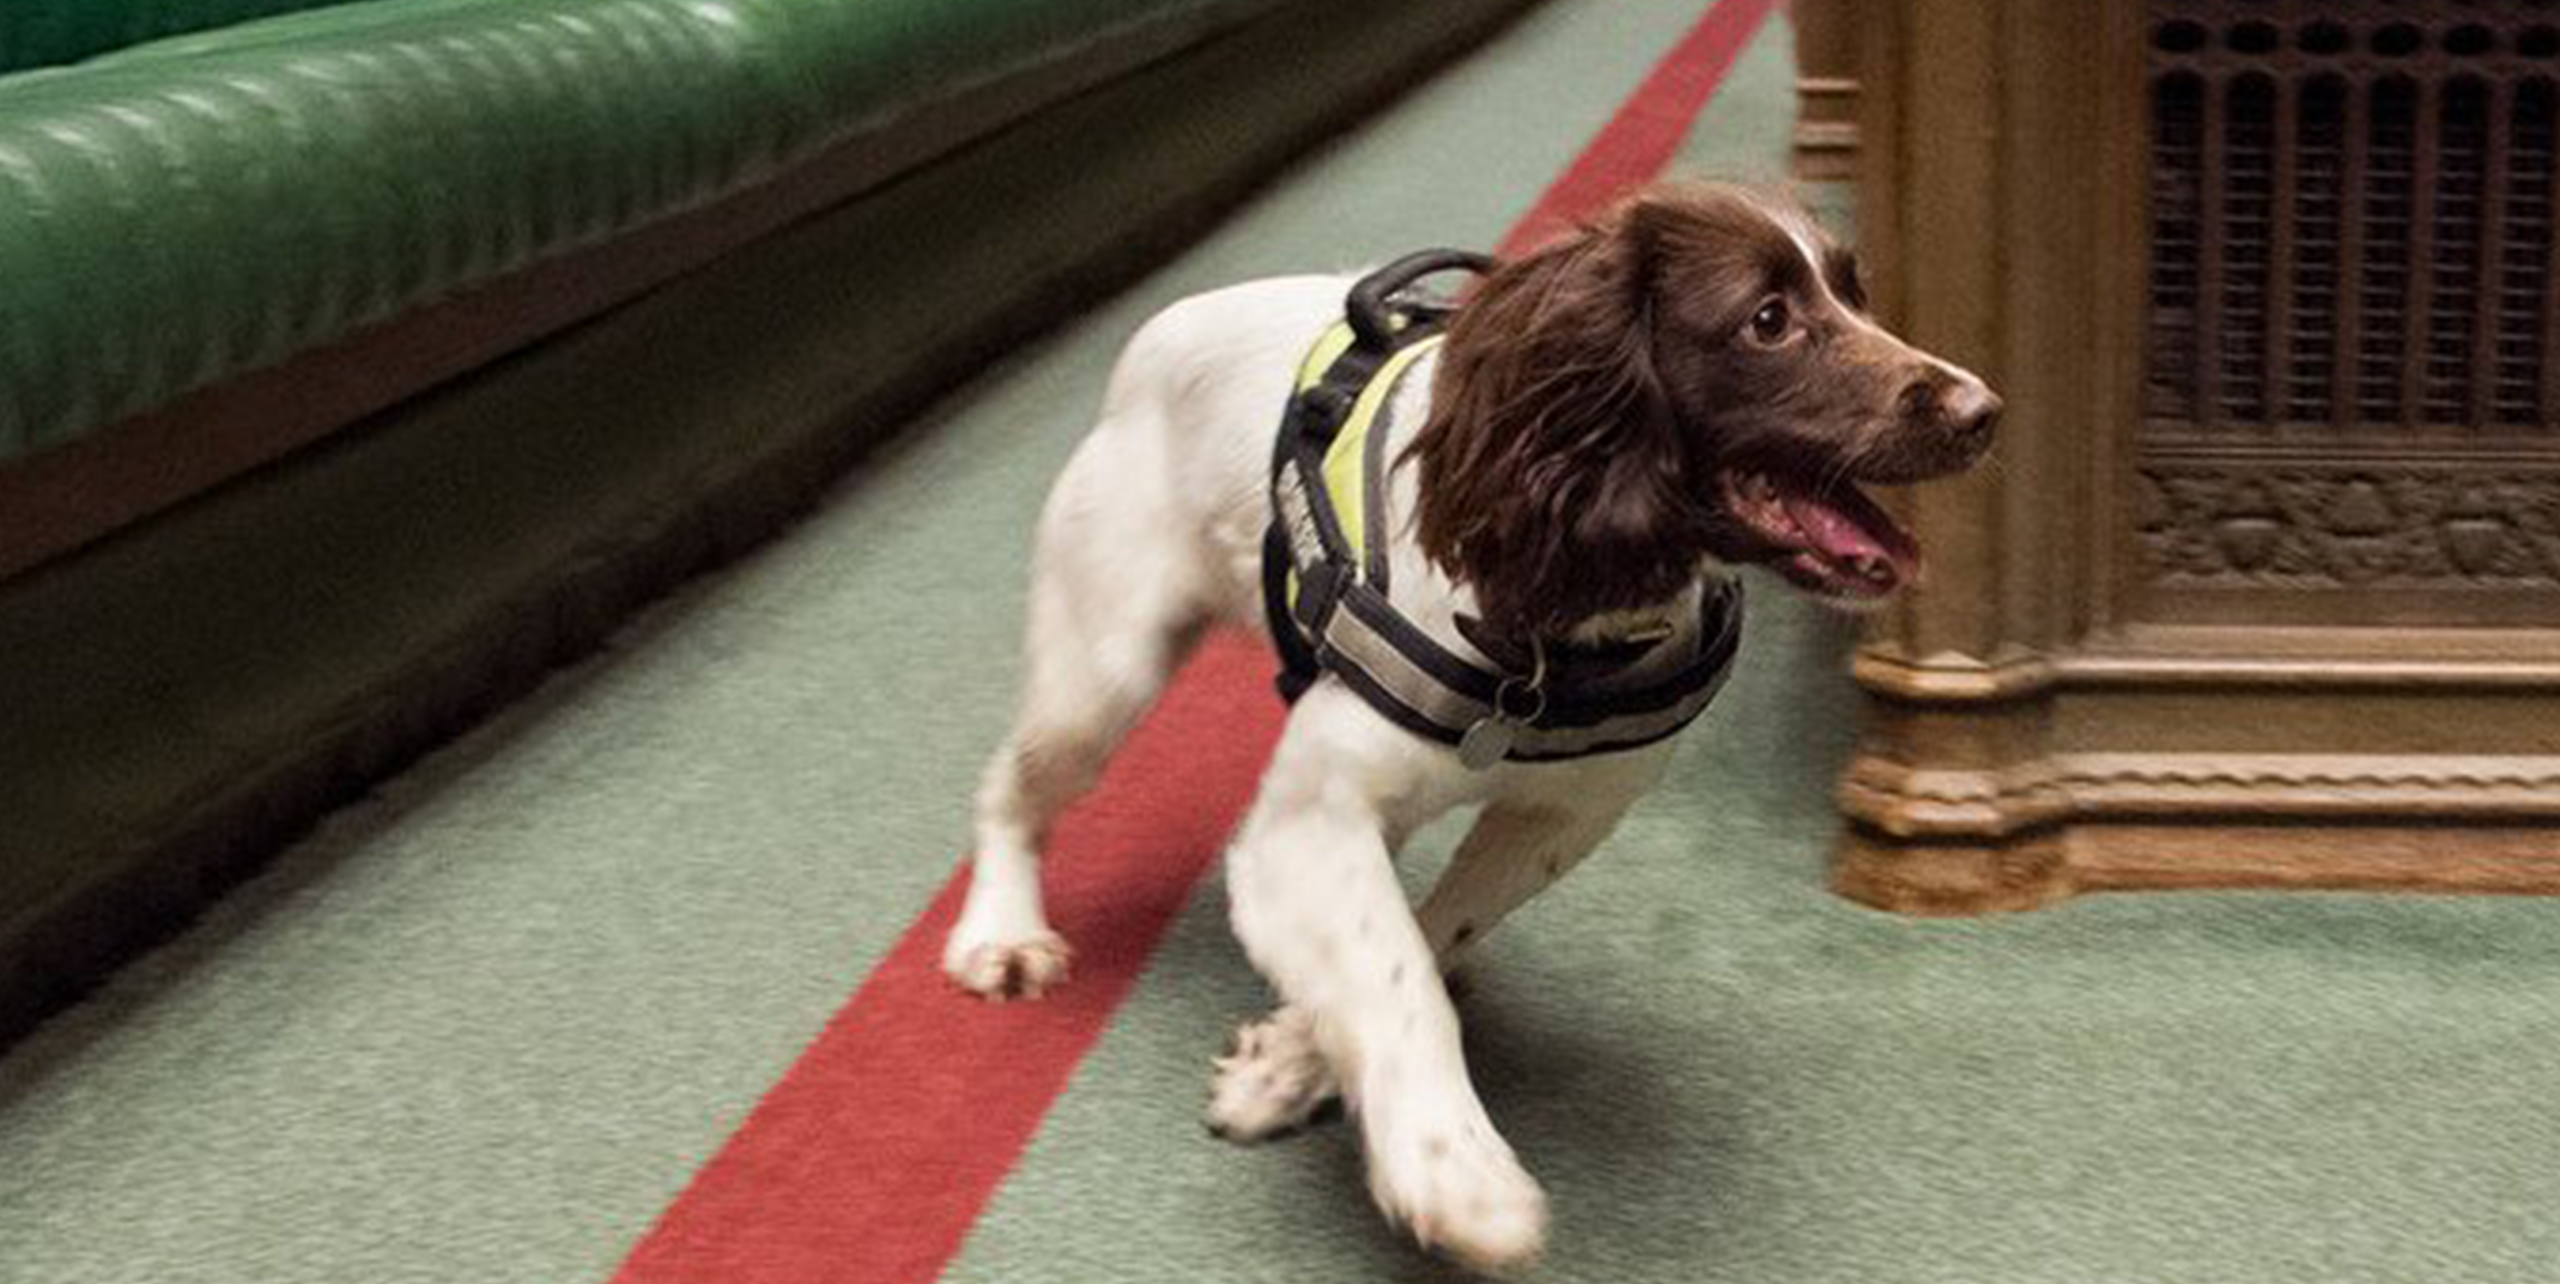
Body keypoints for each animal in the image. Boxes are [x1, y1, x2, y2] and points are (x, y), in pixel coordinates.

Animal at [942, 182, 1996, 1273]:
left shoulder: (1560, 819)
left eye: (1855, 294)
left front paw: (1286, 1065)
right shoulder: (1306, 823)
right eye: (1768, 319)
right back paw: (1002, 933)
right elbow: (1394, 968)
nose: (1983, 411)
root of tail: (1168, 321)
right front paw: (1453, 1171)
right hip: (1101, 671)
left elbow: (1423, 928)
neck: (1547, 632)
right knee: (1010, 789)